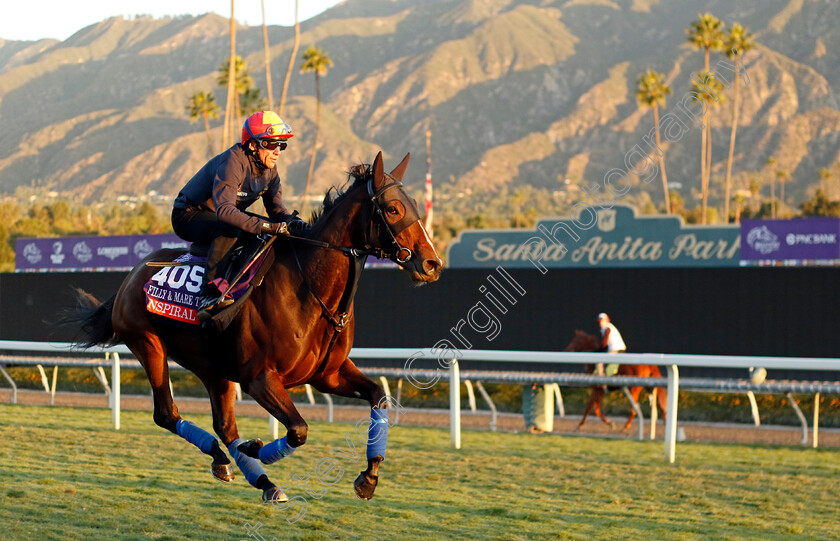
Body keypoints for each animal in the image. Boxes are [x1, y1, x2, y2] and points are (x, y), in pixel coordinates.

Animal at [61, 152, 442, 502]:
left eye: (414, 206)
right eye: (393, 209)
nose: (432, 263)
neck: (308, 287)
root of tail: (132, 276)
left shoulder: (327, 375)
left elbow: (379, 396)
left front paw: (369, 475)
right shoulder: (260, 378)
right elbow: (299, 430)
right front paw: (256, 447)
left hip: (213, 365)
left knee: (224, 425)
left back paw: (256, 477)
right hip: (148, 344)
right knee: (167, 414)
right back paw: (229, 458)